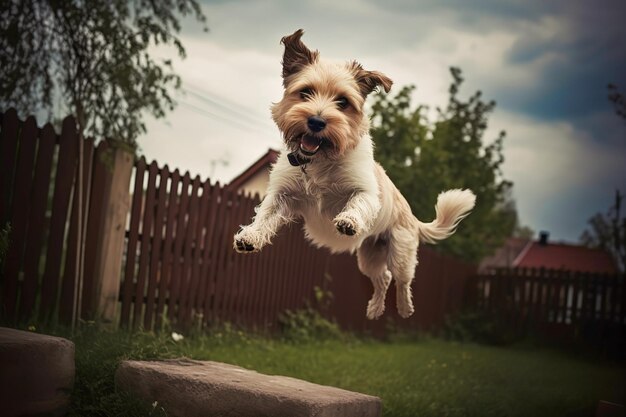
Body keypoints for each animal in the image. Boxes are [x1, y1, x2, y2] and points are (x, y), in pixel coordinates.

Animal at [233, 30, 472, 318]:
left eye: (342, 102)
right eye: (305, 92)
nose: (316, 121)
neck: (320, 160)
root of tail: (412, 217)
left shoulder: (366, 192)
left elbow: (357, 202)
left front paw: (348, 220)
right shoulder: (282, 196)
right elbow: (265, 216)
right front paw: (250, 236)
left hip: (400, 252)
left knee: (402, 280)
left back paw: (404, 308)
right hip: (370, 256)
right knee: (383, 279)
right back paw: (375, 309)